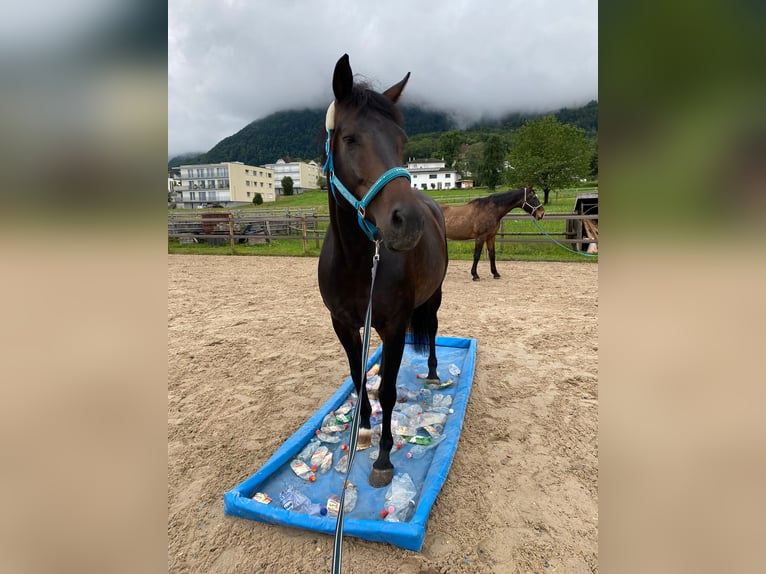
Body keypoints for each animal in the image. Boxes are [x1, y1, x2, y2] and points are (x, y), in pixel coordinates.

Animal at [318, 54, 450, 488]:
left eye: (401, 140)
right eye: (349, 138)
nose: (407, 222)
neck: (357, 262)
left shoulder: (393, 326)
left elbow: (390, 388)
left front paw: (384, 457)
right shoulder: (343, 324)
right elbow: (359, 379)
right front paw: (362, 430)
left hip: (434, 296)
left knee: (433, 329)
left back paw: (432, 373)